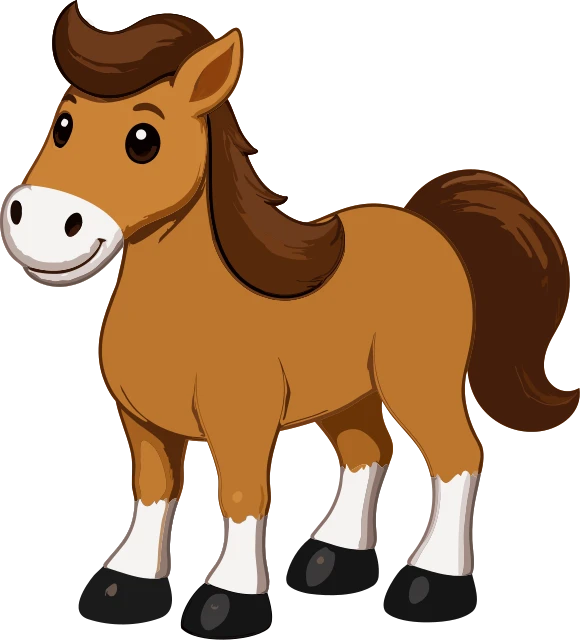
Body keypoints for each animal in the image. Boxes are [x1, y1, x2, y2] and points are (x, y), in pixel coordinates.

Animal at [1, 3, 577, 635]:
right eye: (62, 124)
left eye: (143, 139)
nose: (39, 224)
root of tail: (431, 228)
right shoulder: (143, 424)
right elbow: (153, 491)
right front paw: (124, 585)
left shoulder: (242, 423)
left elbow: (242, 497)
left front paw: (228, 600)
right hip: (347, 390)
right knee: (367, 450)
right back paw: (332, 561)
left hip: (416, 381)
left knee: (457, 458)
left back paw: (430, 585)